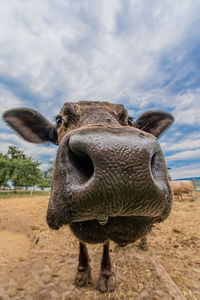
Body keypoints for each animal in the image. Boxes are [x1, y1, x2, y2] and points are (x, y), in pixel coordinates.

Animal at [3, 101, 175, 292]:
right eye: (59, 119)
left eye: (129, 119)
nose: (120, 156)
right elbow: (81, 243)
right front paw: (83, 271)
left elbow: (106, 244)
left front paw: (106, 274)